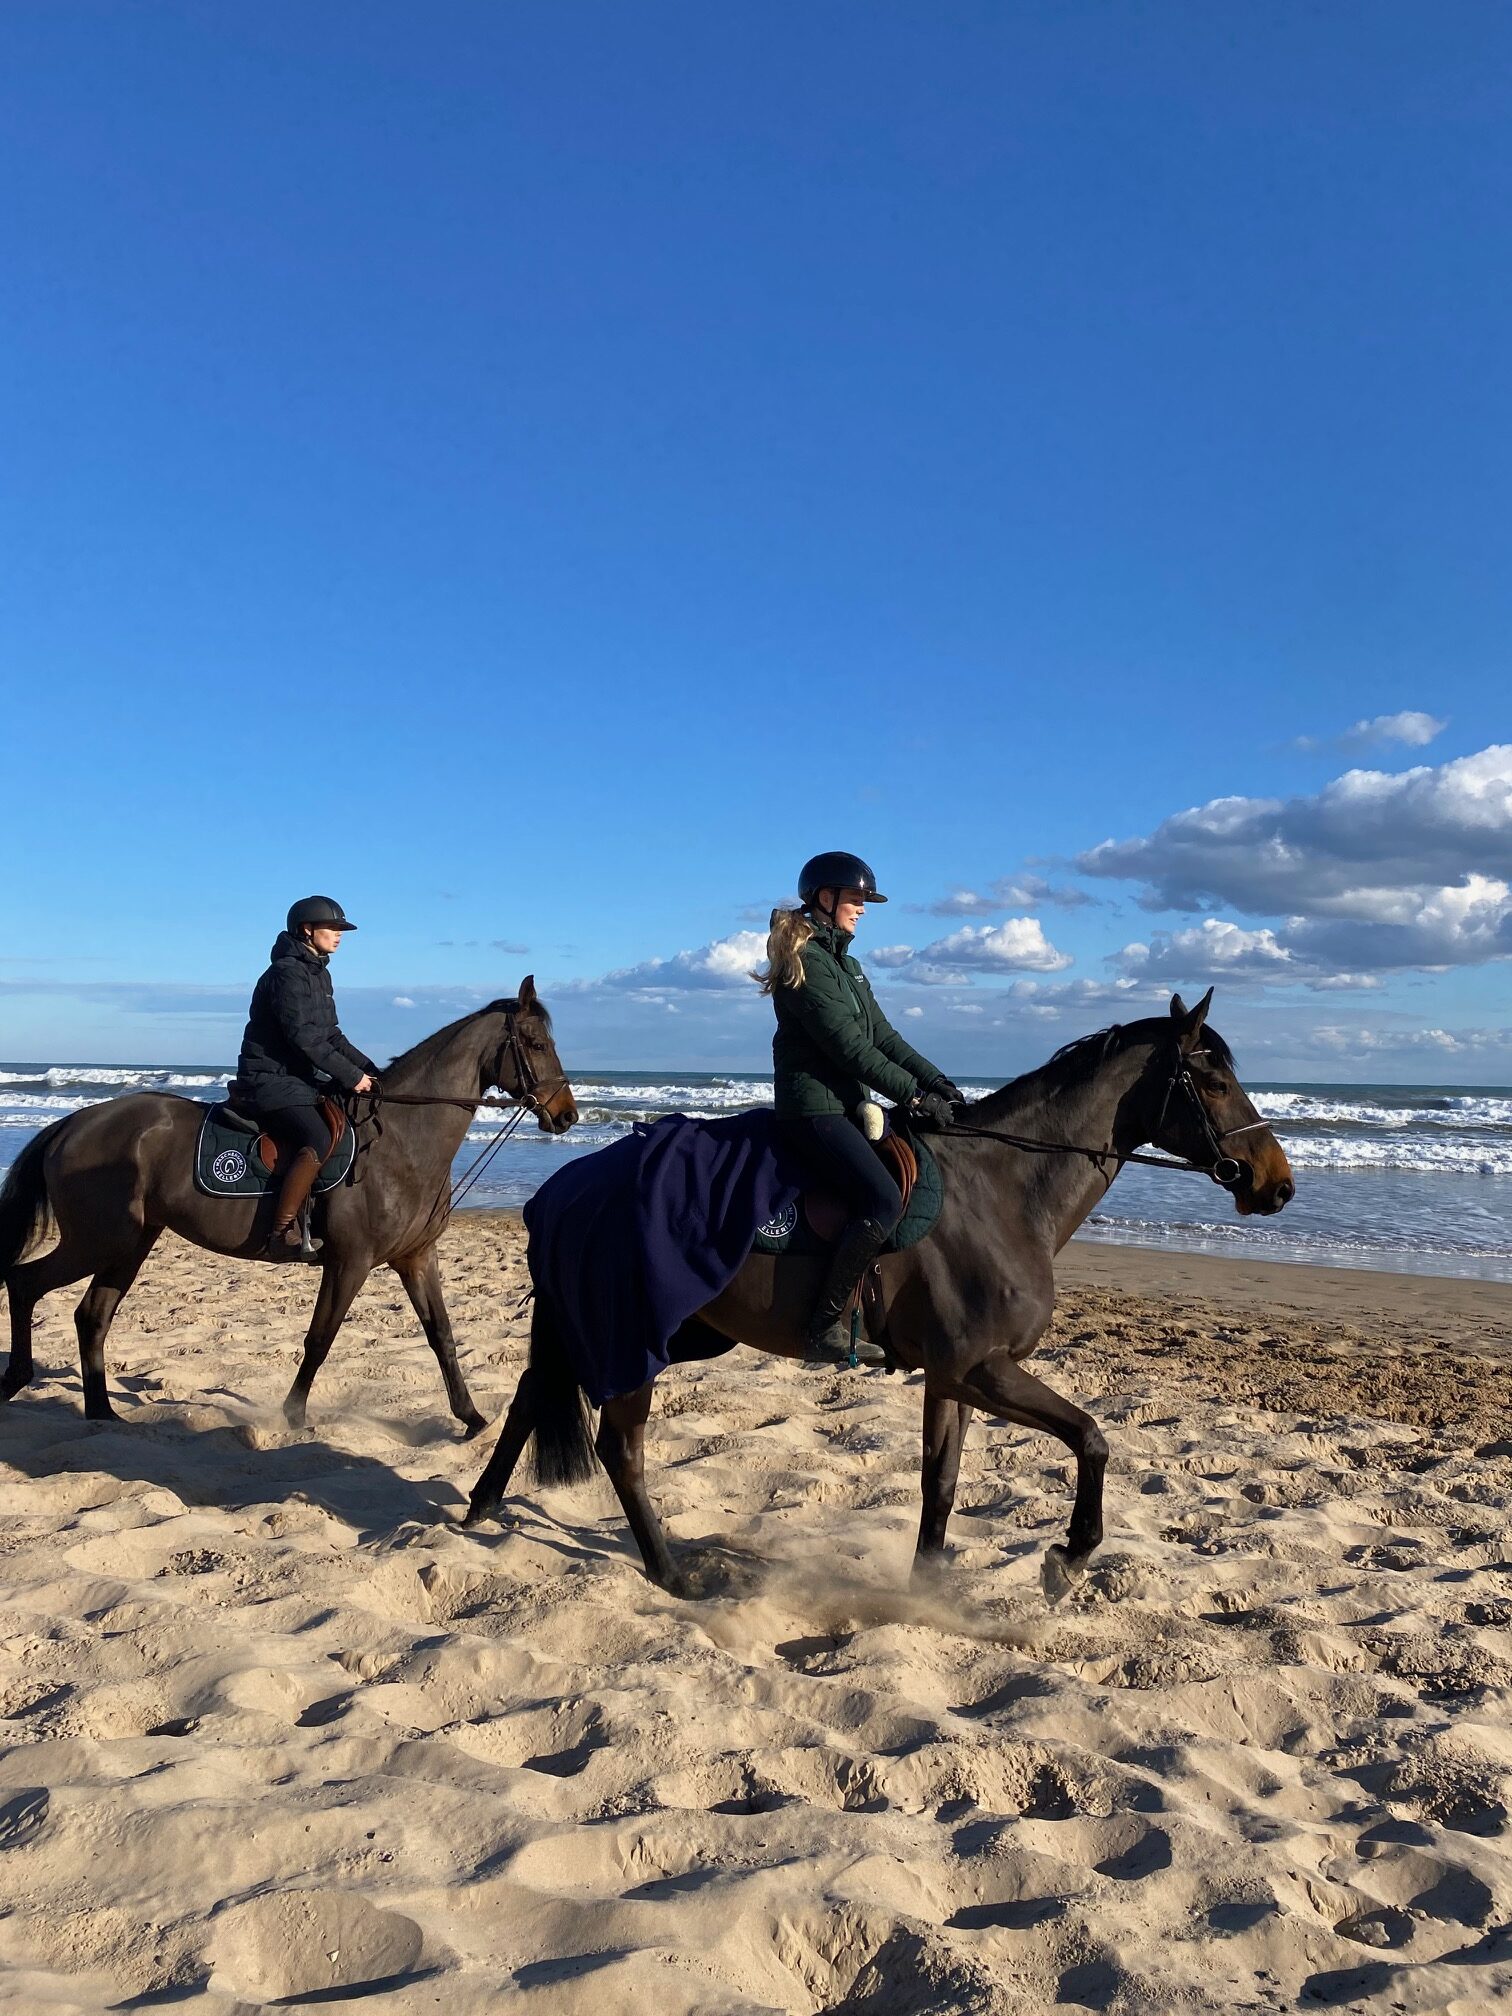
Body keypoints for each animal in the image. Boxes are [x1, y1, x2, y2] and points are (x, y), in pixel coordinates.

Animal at [0, 979, 580, 1427]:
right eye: (534, 1042)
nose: (567, 1115)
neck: (401, 1139)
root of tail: (75, 1122)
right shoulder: (350, 1262)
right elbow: (320, 1338)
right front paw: (294, 1415)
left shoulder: (417, 1258)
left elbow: (442, 1335)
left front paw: (471, 1418)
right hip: (100, 1240)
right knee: (26, 1284)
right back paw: (19, 1379)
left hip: (130, 1242)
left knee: (92, 1315)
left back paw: (101, 1411)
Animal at [467, 983, 1298, 1596]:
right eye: (1214, 1082)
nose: (1277, 1183)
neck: (1002, 1192)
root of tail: (568, 1186)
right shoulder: (980, 1368)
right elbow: (1091, 1437)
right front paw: (1068, 1557)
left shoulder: (955, 1377)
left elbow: (942, 1482)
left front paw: (927, 1589)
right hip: (633, 1332)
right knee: (621, 1447)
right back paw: (670, 1572)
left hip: (657, 1331)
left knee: (533, 1394)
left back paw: (482, 1504)